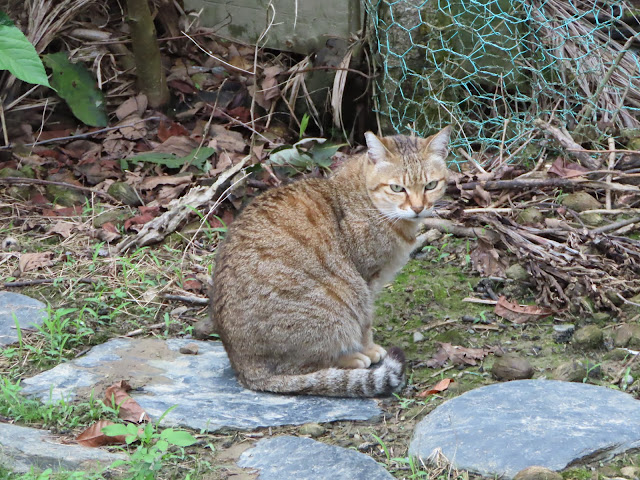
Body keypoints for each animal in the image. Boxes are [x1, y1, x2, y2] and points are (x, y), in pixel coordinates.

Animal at [205, 126, 450, 398]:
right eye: (397, 188)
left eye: (431, 185)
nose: (418, 208)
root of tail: (245, 369)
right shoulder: (366, 280)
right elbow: (366, 323)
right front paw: (369, 348)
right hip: (337, 301)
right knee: (304, 368)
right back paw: (352, 358)